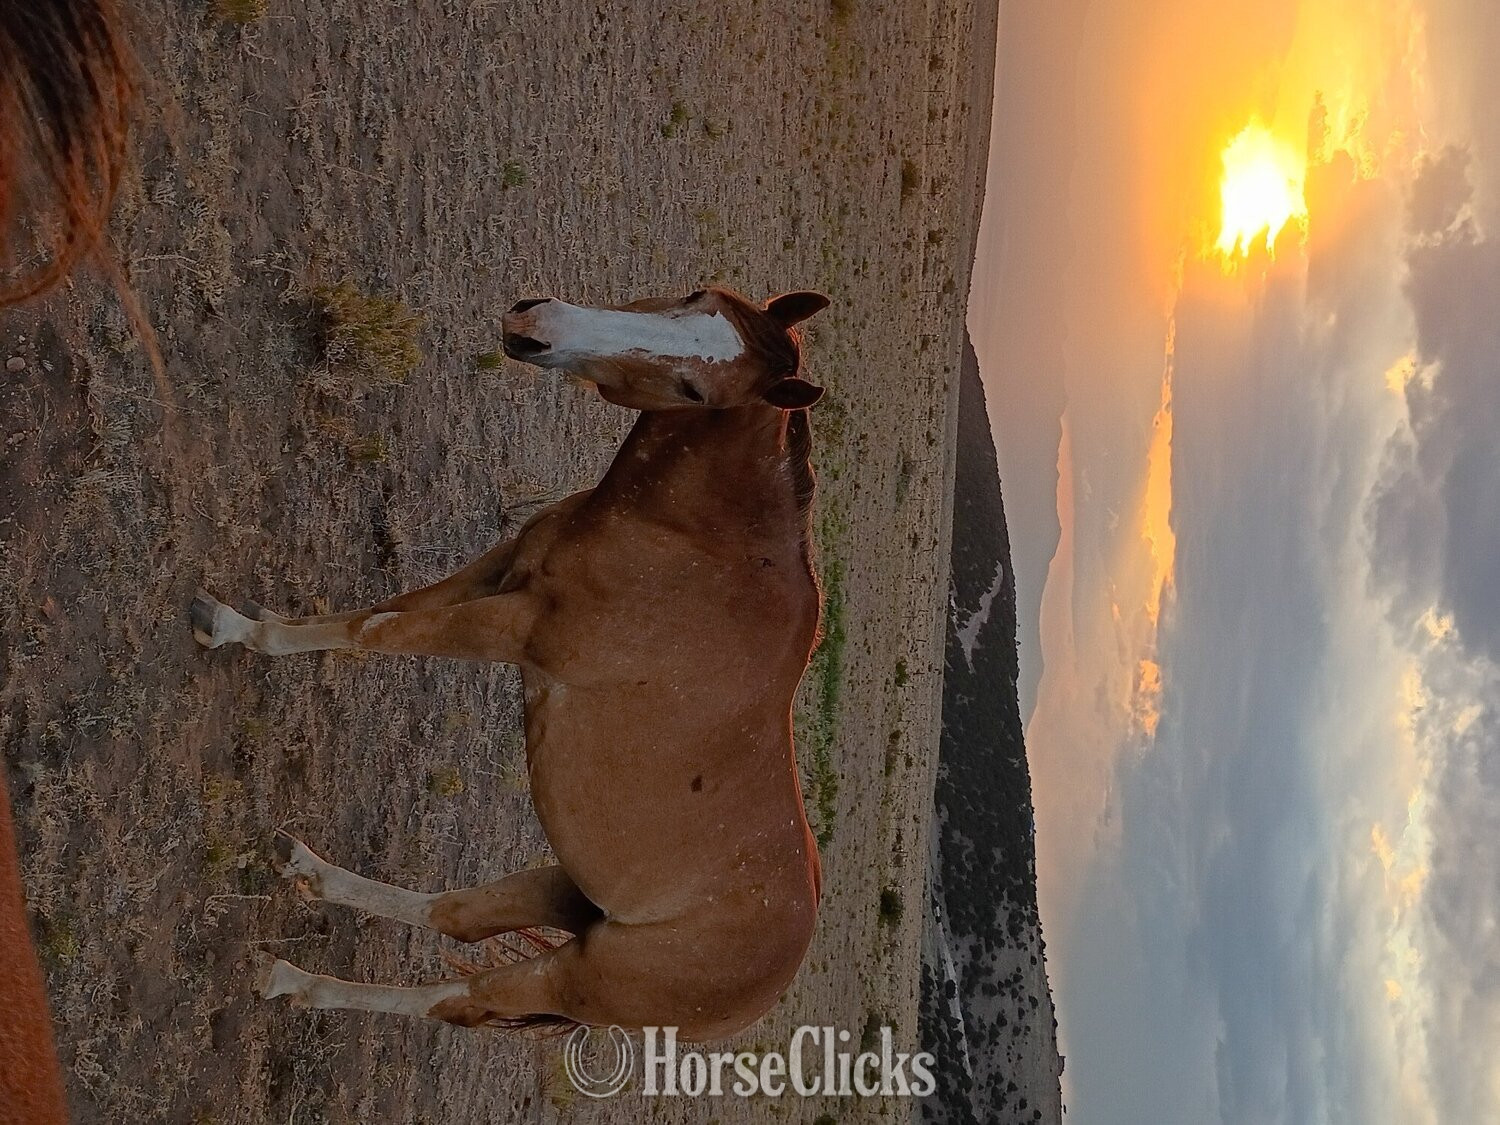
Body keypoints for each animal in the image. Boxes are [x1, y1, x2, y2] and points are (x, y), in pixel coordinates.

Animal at [191, 285, 832, 1040]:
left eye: (695, 390)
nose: (536, 326)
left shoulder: (505, 627)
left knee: (460, 999)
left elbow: (372, 631)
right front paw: (245, 622)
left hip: (573, 977)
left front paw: (242, 631)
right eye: (698, 296)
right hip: (560, 888)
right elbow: (376, 613)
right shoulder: (501, 569)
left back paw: (295, 981)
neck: (695, 550)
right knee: (458, 918)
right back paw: (309, 871)